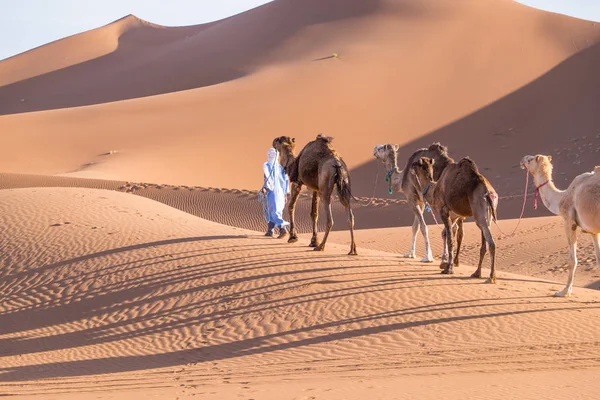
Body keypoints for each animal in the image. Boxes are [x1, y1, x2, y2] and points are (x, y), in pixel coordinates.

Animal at [520, 155, 600, 296]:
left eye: (530, 160)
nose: (522, 160)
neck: (560, 198)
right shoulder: (593, 231)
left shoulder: (568, 221)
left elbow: (572, 261)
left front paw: (564, 291)